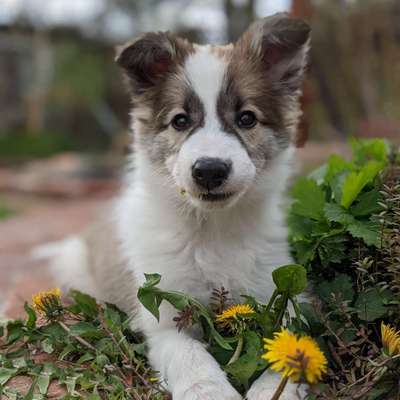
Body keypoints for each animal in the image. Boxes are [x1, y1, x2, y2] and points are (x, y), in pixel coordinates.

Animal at [45, 13, 310, 400]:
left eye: (247, 118)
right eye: (180, 121)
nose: (210, 170)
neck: (213, 230)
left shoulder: (282, 297)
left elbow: (290, 346)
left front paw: (270, 390)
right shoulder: (163, 314)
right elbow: (189, 353)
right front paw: (209, 390)